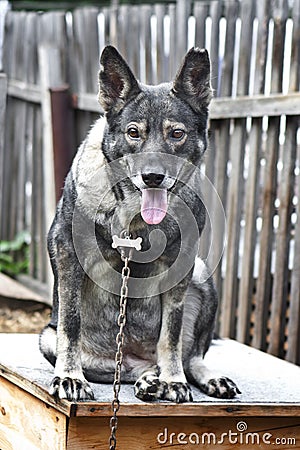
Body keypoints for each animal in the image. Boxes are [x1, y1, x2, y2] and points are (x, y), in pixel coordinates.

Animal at [39, 45, 240, 402]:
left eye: (177, 134)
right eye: (133, 132)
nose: (153, 177)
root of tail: (133, 357)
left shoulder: (181, 268)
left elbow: (171, 334)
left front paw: (174, 380)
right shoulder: (69, 257)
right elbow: (71, 324)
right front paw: (70, 377)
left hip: (202, 277)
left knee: (191, 356)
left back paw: (187, 377)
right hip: (48, 338)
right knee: (125, 369)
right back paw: (147, 380)